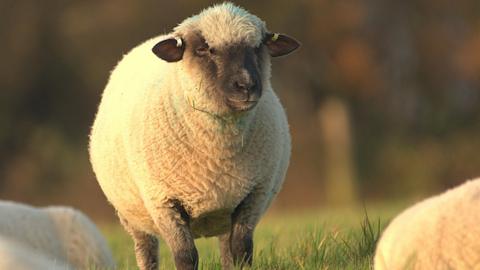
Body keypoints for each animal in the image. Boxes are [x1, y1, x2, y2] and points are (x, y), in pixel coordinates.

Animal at [89, 2, 298, 270]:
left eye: (257, 47)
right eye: (203, 49)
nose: (246, 86)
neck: (217, 151)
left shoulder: (254, 195)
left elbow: (242, 250)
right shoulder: (163, 202)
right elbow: (186, 256)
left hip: (225, 209)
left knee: (227, 249)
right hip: (132, 215)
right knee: (146, 251)